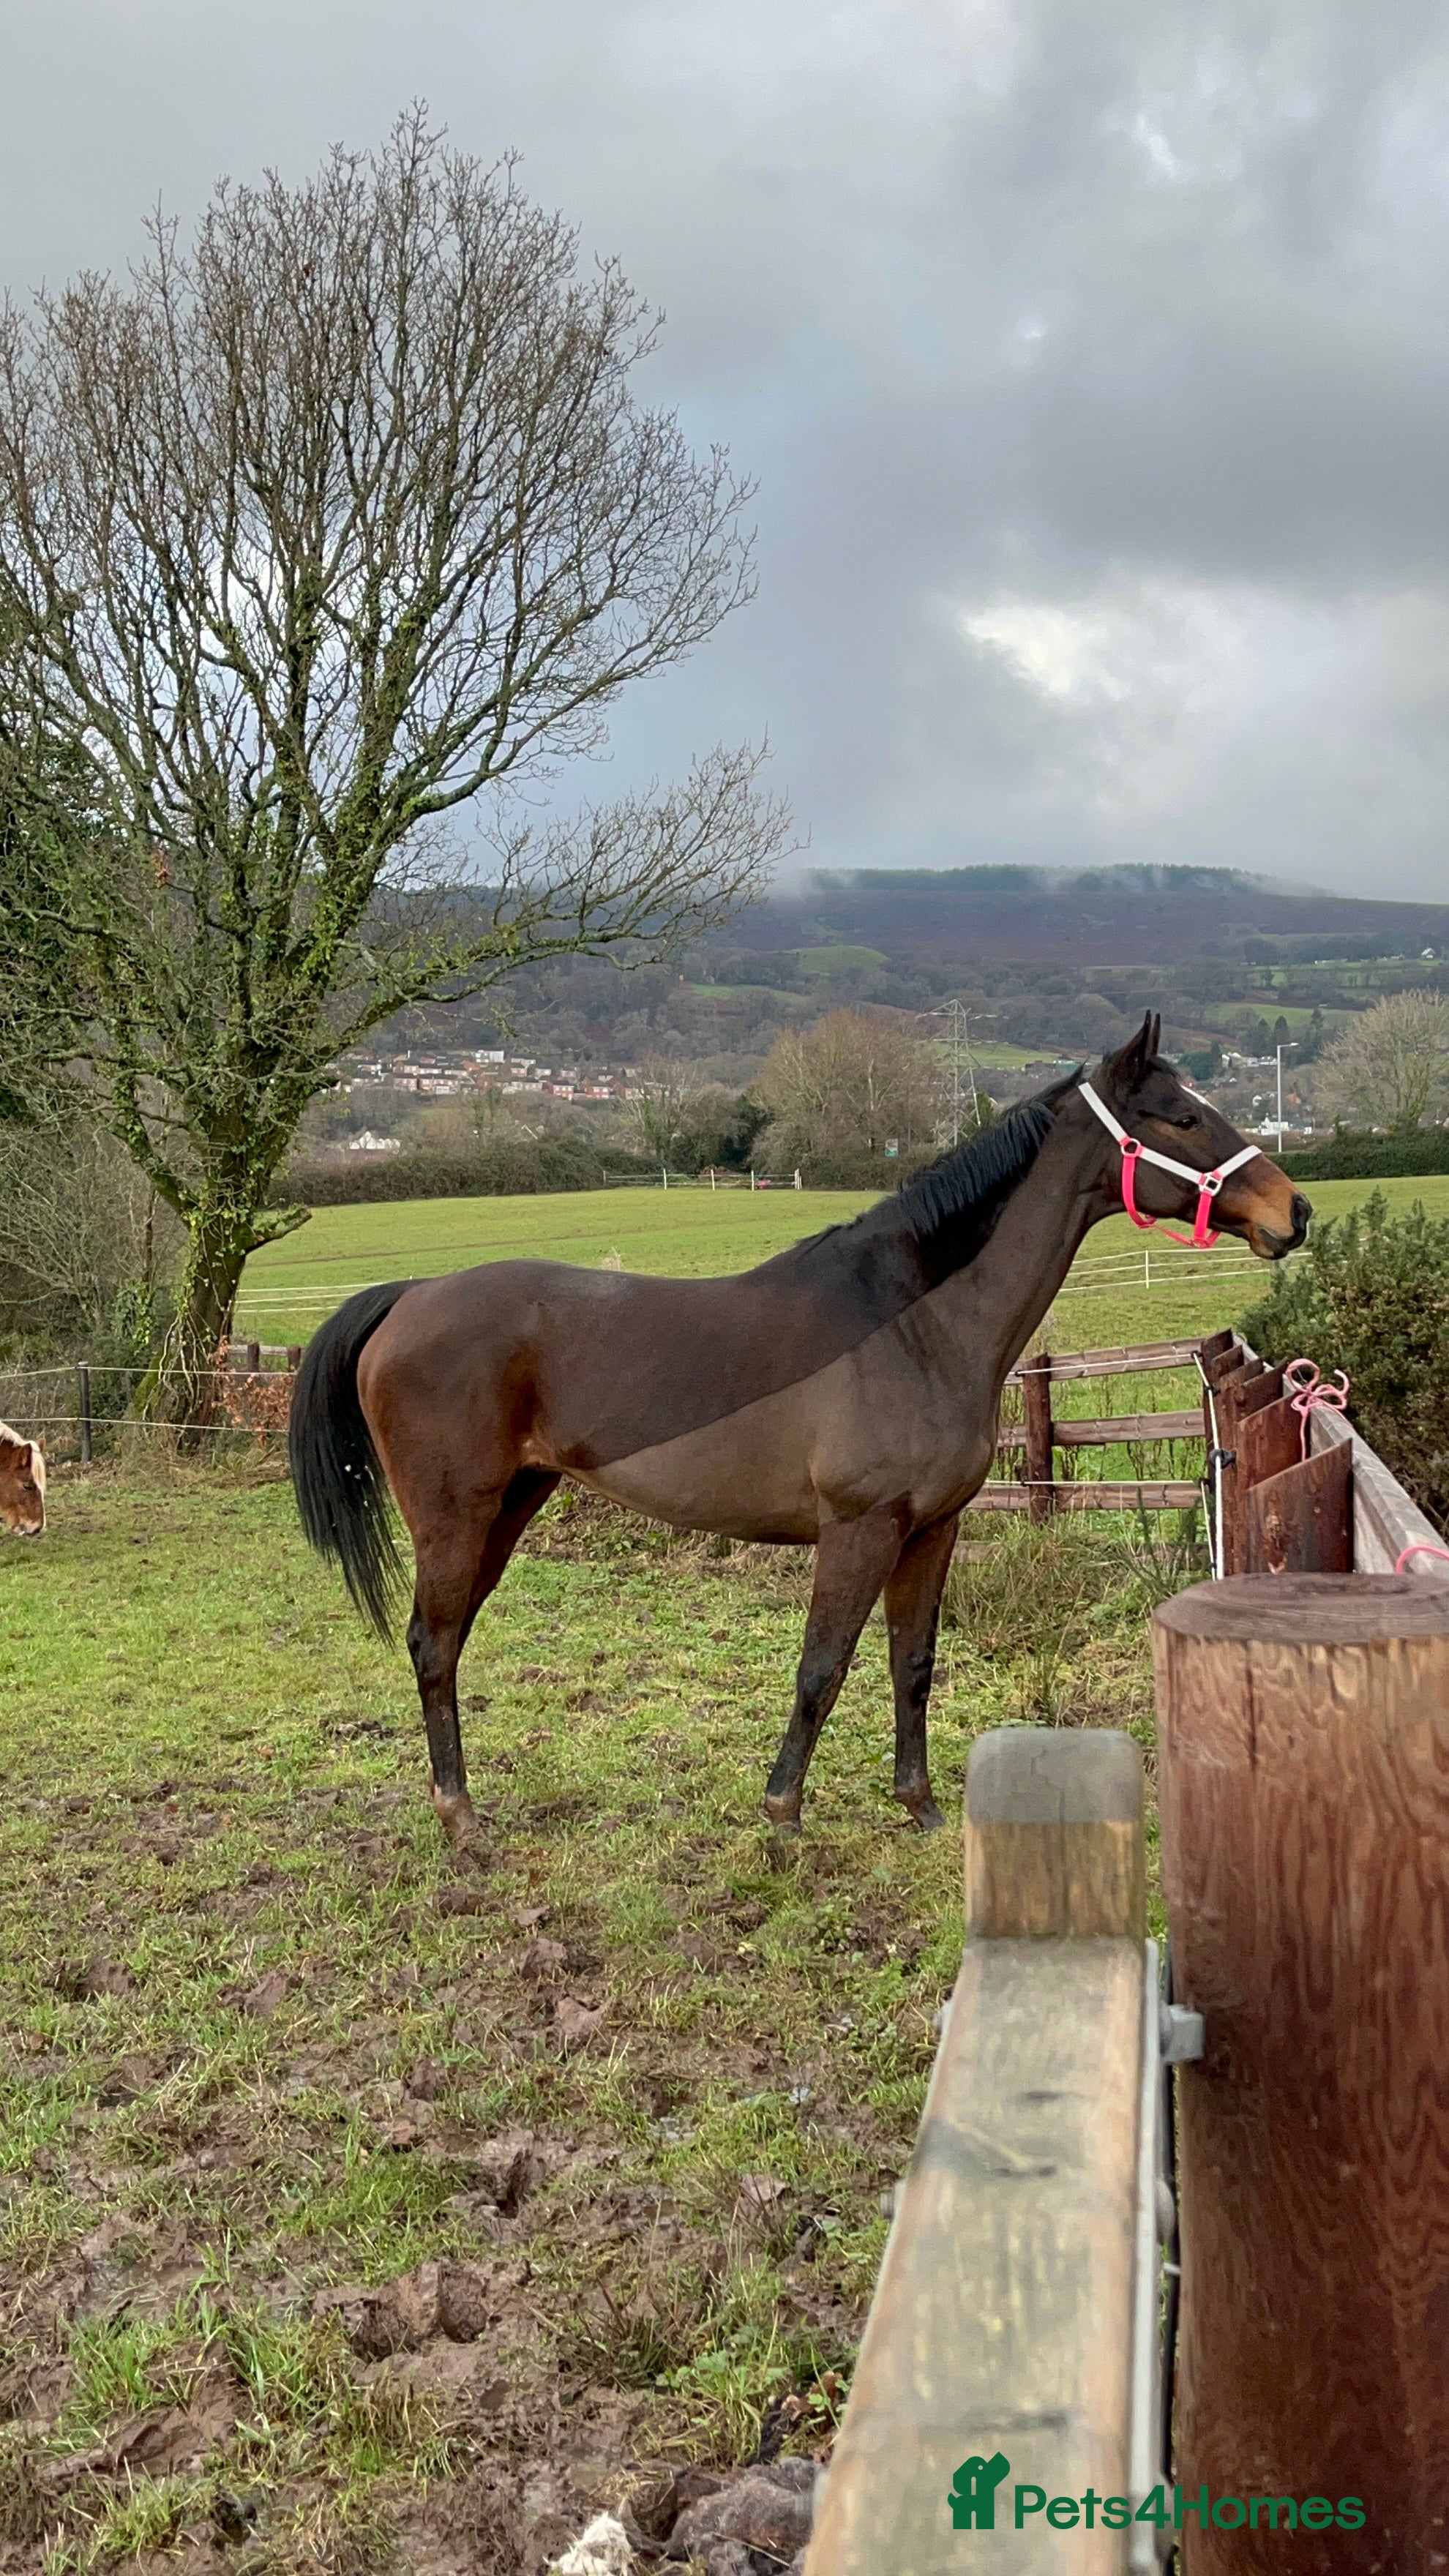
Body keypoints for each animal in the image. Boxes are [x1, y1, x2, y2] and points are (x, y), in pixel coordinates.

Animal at [290, 1017, 1309, 1844]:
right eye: (1180, 1117)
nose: (1291, 1211)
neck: (914, 1323)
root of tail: (410, 1297)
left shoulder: (931, 1530)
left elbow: (913, 1663)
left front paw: (919, 1805)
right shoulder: (858, 1528)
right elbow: (822, 1668)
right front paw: (783, 1812)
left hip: (508, 1507)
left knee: (448, 1640)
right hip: (456, 1516)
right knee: (432, 1643)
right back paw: (461, 1817)